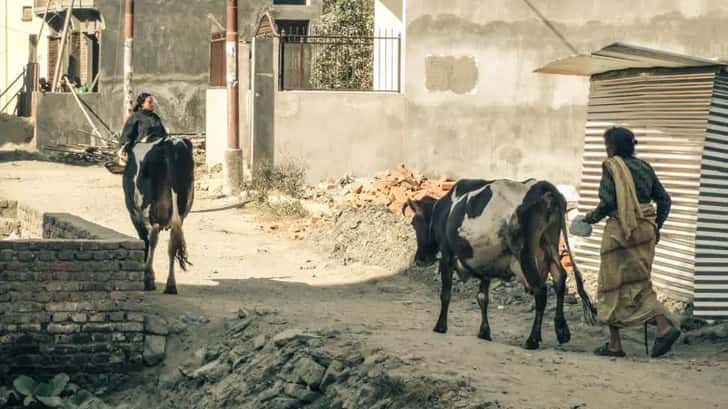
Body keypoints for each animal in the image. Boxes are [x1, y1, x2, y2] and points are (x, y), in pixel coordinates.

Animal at [123, 137, 195, 294]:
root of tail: (168, 143)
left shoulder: (135, 216)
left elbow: (144, 242)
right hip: (181, 210)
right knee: (172, 243)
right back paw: (171, 285)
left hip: (148, 209)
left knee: (153, 237)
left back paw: (148, 278)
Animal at [404, 178, 596, 348]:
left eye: (414, 223)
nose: (419, 259)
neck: (444, 211)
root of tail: (543, 187)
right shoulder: (485, 265)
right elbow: (482, 298)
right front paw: (484, 332)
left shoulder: (447, 256)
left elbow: (445, 294)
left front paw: (440, 326)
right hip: (550, 243)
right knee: (559, 280)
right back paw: (562, 331)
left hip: (525, 254)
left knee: (541, 291)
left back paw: (532, 339)